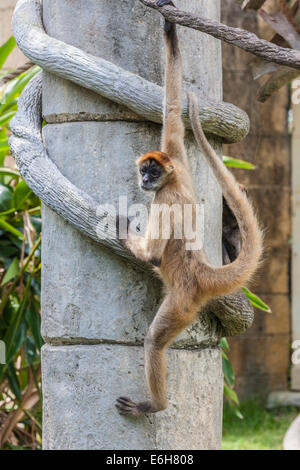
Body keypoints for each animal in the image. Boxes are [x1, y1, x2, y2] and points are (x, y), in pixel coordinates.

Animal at [115, 1, 262, 416]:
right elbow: (173, 106)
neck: (171, 181)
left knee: (154, 341)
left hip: (182, 303)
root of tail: (201, 271)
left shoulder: (165, 197)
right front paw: (169, 27)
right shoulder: (176, 155)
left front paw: (121, 228)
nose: (145, 179)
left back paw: (155, 405)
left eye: (151, 172)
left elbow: (152, 254)